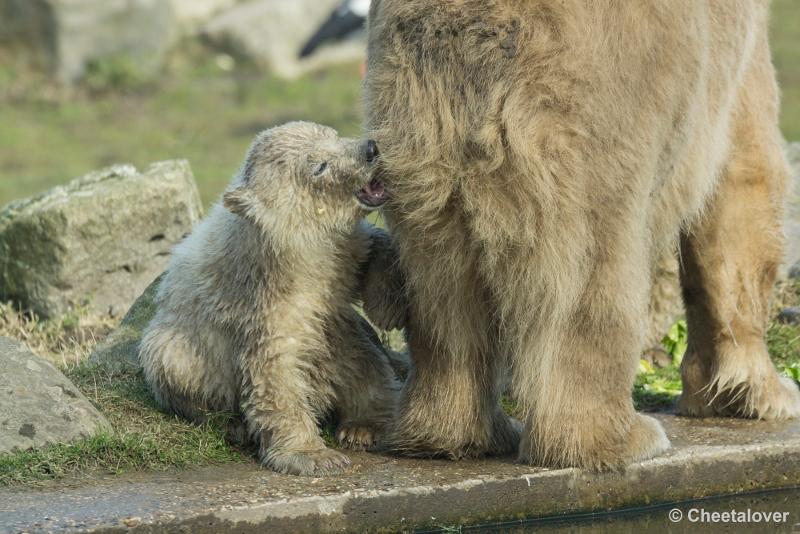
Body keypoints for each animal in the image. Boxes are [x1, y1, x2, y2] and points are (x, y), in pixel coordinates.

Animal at [366, 0, 800, 468]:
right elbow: (743, 177)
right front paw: (766, 393)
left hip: (420, 127)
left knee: (440, 281)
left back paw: (449, 434)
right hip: (588, 106)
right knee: (594, 271)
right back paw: (618, 437)